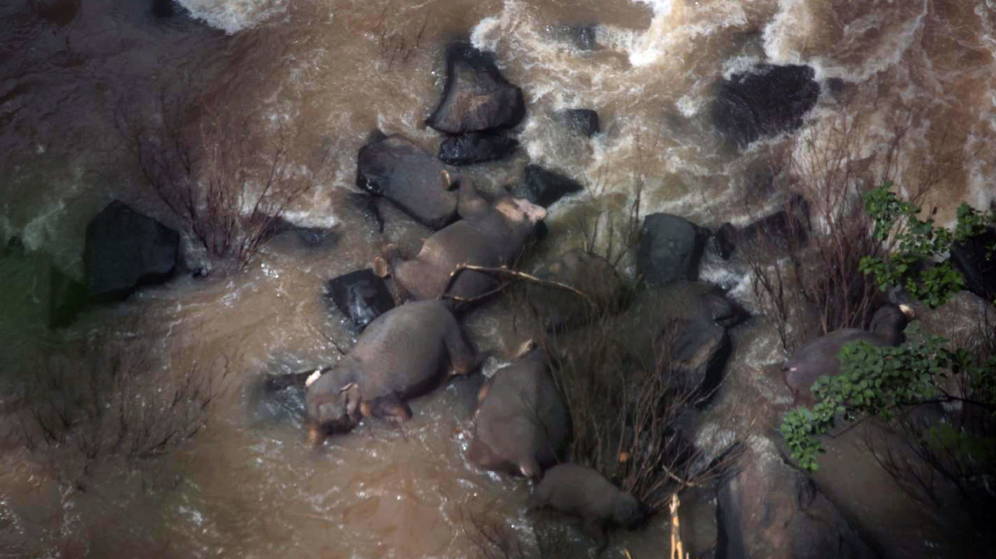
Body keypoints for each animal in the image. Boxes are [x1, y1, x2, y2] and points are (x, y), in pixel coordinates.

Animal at [304, 300, 478, 445]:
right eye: (309, 417)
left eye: (334, 422)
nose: (313, 441)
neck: (349, 371)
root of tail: (446, 305)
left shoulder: (380, 396)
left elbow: (405, 415)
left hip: (453, 336)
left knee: (467, 363)